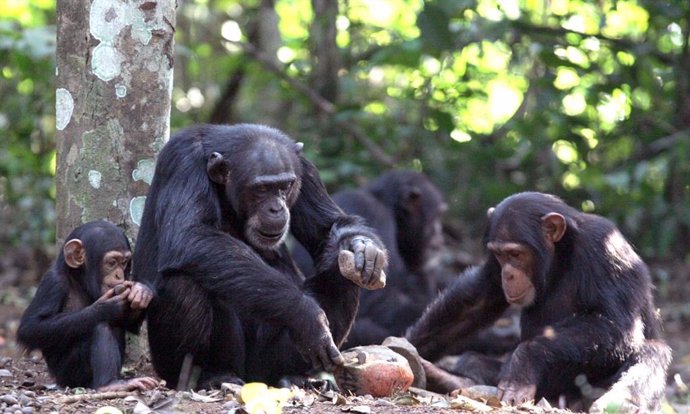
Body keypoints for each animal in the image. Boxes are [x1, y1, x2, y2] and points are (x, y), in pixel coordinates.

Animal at [16, 220, 157, 392]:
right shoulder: (53, 283)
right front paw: (104, 308)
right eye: (112, 263)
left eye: (124, 263)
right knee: (101, 326)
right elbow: (31, 327)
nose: (119, 275)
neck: (79, 281)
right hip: (69, 374)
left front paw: (142, 291)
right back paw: (109, 384)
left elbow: (129, 323)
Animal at [130, 123, 388, 388]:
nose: (276, 208)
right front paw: (307, 315)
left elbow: (328, 227)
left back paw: (295, 376)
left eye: (285, 186)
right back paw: (210, 375)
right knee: (184, 283)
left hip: (270, 360)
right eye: (261, 189)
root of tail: (252, 377)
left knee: (342, 274)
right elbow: (190, 234)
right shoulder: (182, 161)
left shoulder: (305, 170)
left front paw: (363, 248)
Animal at [406, 192, 668, 412]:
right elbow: (479, 300)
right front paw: (406, 345)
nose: (508, 275)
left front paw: (524, 362)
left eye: (516, 254)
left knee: (651, 351)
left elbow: (614, 325)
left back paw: (618, 403)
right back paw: (448, 378)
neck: (560, 256)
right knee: (471, 360)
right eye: (500, 255)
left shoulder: (605, 249)